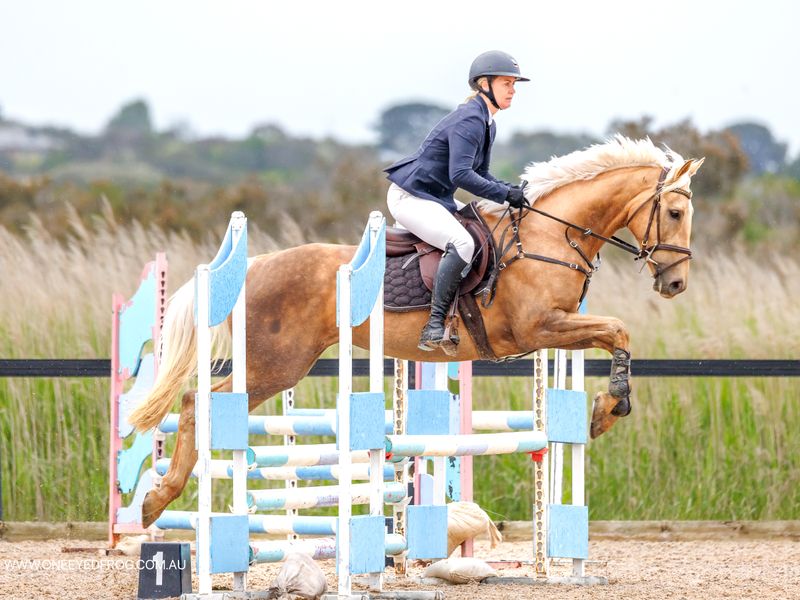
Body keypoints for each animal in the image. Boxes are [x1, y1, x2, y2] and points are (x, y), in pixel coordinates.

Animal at [129, 135, 704, 527]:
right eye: (675, 212)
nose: (676, 283)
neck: (549, 236)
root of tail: (253, 265)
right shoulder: (541, 328)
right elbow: (618, 329)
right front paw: (609, 408)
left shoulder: (558, 329)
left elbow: (616, 334)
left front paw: (606, 409)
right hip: (275, 364)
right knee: (196, 403)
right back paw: (158, 499)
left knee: (195, 403)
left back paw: (159, 501)